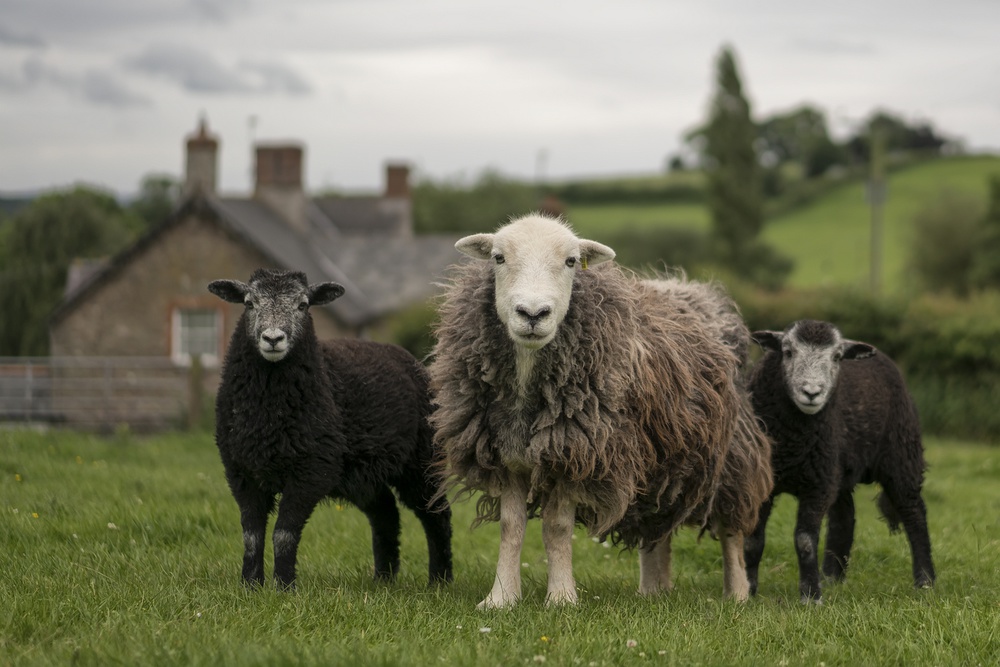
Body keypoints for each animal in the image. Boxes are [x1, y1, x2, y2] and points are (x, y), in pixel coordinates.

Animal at [209, 266, 452, 588]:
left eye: (303, 305)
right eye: (249, 303)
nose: (273, 338)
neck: (269, 412)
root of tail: (407, 357)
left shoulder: (312, 470)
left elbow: (284, 534)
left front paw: (283, 586)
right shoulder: (242, 472)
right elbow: (252, 536)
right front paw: (250, 585)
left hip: (421, 460)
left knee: (436, 514)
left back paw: (440, 579)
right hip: (363, 473)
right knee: (385, 513)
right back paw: (383, 579)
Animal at [430, 215, 772, 612]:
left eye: (571, 261)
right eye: (498, 258)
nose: (533, 314)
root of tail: (698, 290)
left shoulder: (575, 454)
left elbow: (557, 528)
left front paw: (561, 598)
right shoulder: (507, 457)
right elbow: (510, 527)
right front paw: (500, 599)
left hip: (731, 454)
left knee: (731, 526)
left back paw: (737, 594)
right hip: (663, 458)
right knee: (657, 525)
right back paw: (653, 590)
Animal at [748, 320, 932, 604]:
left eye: (836, 357)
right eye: (787, 352)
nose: (811, 393)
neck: (793, 443)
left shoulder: (818, 485)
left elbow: (805, 540)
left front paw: (810, 595)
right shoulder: (765, 481)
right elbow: (754, 539)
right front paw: (747, 590)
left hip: (901, 455)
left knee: (914, 513)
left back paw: (925, 581)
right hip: (839, 467)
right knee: (844, 517)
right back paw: (832, 577)